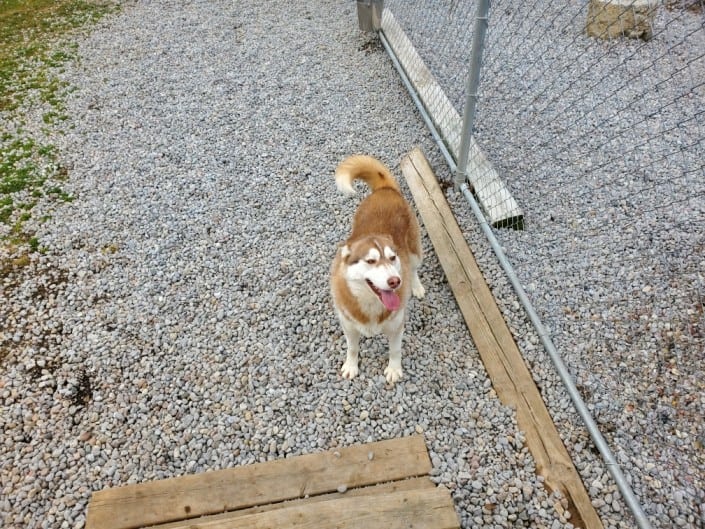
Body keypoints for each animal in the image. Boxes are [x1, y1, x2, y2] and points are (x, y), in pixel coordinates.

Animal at [330, 155, 424, 384]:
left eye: (392, 258)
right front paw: (351, 365)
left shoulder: (396, 326)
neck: (370, 303)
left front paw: (394, 369)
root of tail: (385, 189)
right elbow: (352, 348)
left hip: (414, 252)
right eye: (371, 261)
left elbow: (395, 350)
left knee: (414, 268)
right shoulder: (348, 326)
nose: (395, 281)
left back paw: (416, 287)